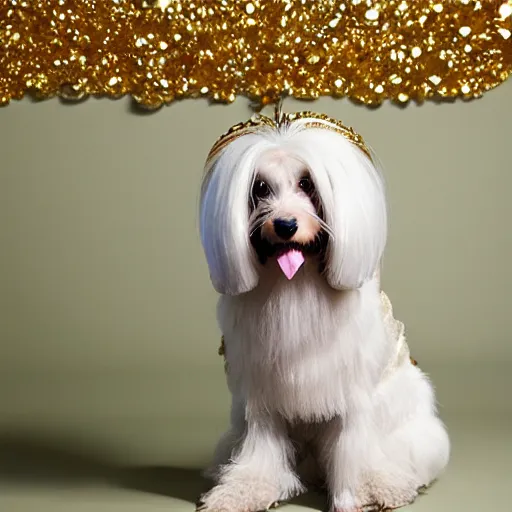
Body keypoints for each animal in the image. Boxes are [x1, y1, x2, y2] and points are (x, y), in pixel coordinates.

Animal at [198, 109, 450, 512]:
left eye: (307, 184)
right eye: (260, 188)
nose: (285, 225)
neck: (296, 278)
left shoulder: (351, 391)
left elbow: (352, 444)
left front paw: (360, 494)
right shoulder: (261, 395)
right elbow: (261, 448)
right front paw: (244, 492)